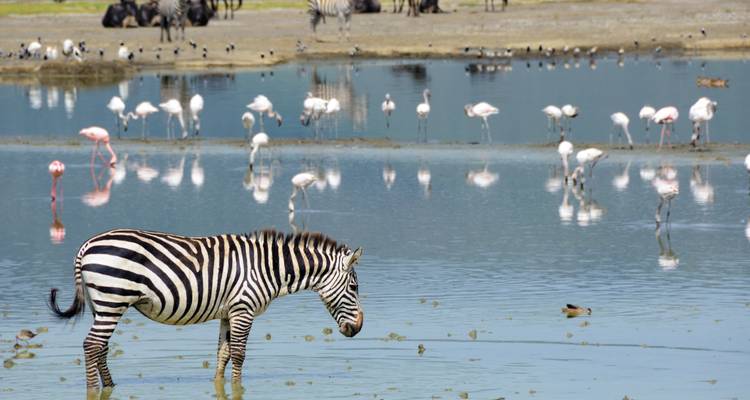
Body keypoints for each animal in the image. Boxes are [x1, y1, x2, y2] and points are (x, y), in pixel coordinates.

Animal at [48, 229, 364, 391]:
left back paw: (111, 385)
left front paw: (219, 383)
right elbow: (239, 354)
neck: (267, 268)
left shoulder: (228, 312)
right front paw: (237, 388)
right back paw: (94, 389)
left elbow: (223, 353)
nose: (359, 327)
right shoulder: (244, 309)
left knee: (100, 347)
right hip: (113, 299)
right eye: (354, 287)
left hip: (103, 304)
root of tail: (87, 245)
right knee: (92, 345)